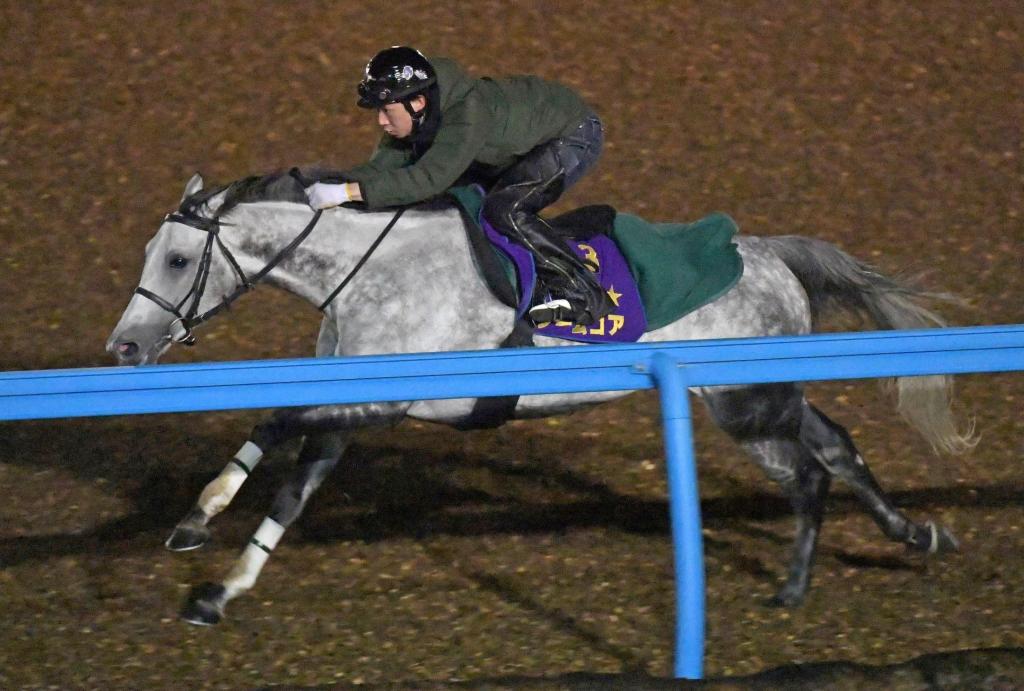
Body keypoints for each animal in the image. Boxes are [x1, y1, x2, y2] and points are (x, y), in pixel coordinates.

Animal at [106, 170, 975, 626]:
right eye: (150, 250)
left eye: (178, 258)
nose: (124, 348)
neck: (366, 271)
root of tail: (774, 258)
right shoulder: (351, 404)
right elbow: (290, 481)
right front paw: (218, 578)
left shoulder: (381, 399)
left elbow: (279, 422)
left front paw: (199, 524)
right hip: (759, 396)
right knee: (836, 444)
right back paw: (913, 534)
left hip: (743, 403)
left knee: (812, 470)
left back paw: (795, 586)